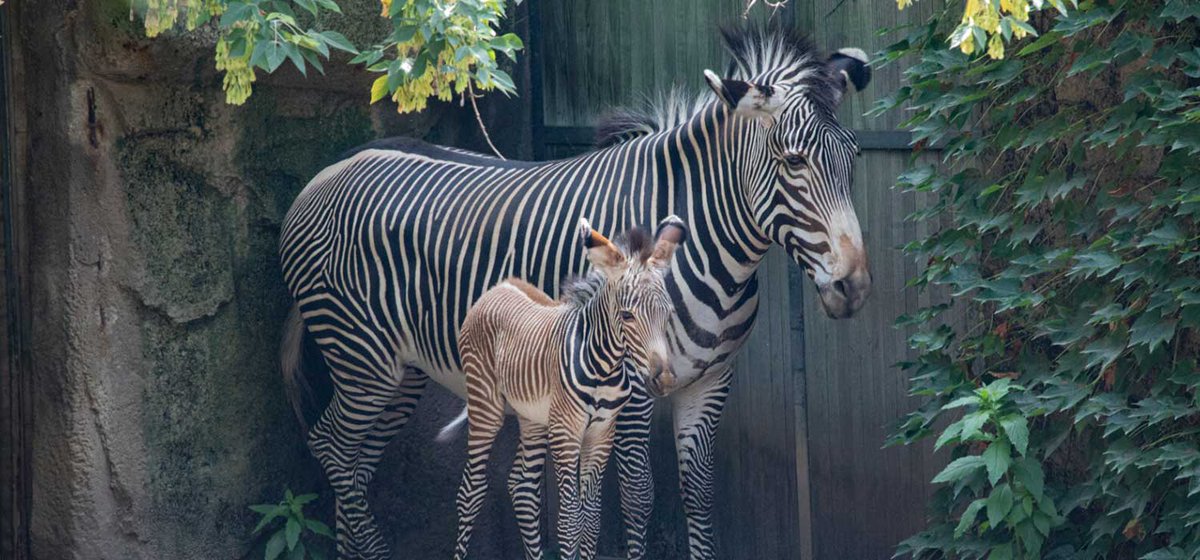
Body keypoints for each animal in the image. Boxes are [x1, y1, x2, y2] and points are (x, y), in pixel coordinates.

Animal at [446, 217, 688, 560]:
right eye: (627, 316)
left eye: (667, 314)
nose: (664, 380)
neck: (604, 366)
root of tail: (499, 286)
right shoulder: (566, 432)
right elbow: (570, 520)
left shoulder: (601, 435)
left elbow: (592, 519)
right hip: (485, 404)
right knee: (470, 489)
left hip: (532, 417)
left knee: (522, 488)